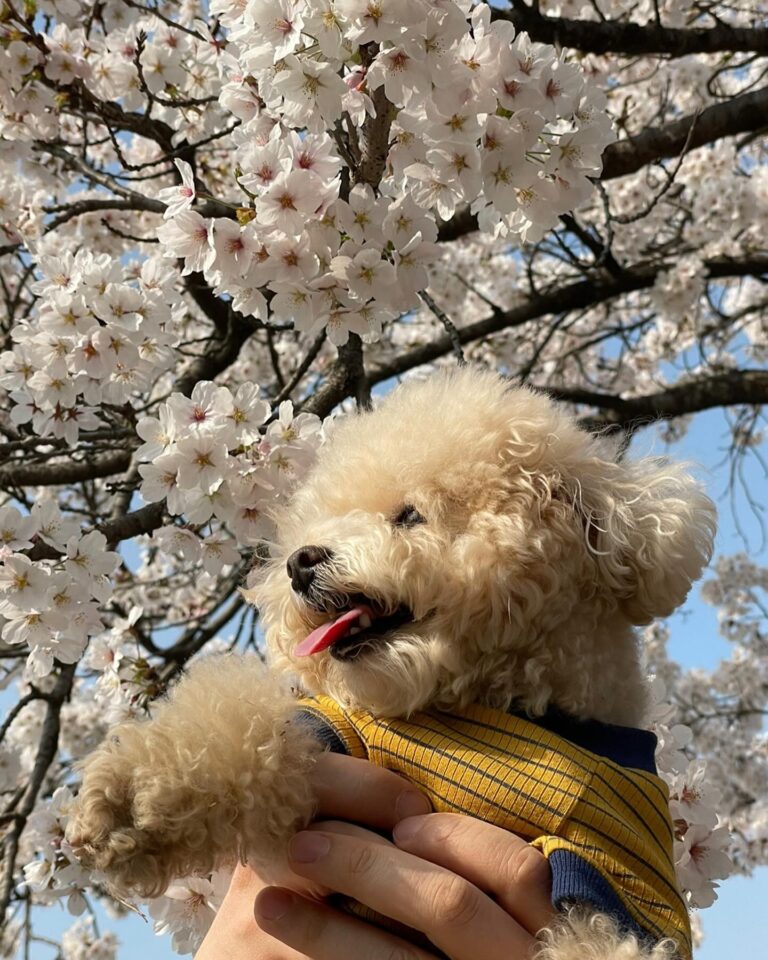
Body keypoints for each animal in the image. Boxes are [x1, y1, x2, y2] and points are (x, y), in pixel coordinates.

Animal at [66, 368, 712, 960]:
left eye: (409, 515)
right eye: (320, 522)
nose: (299, 562)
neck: (498, 704)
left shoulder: (620, 866)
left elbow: (602, 935)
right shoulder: (339, 733)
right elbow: (239, 741)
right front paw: (128, 801)